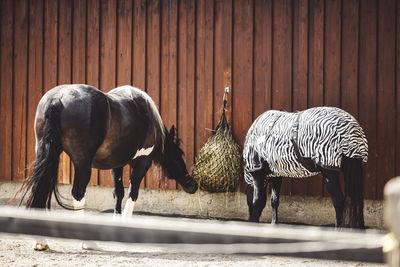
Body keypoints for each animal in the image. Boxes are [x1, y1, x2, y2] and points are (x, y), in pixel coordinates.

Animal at [20, 85, 198, 250]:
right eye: (179, 154)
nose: (193, 185)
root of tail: (58, 99)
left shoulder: (116, 164)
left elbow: (118, 192)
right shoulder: (143, 161)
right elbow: (133, 193)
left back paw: (41, 241)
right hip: (82, 163)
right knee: (78, 193)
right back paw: (87, 242)